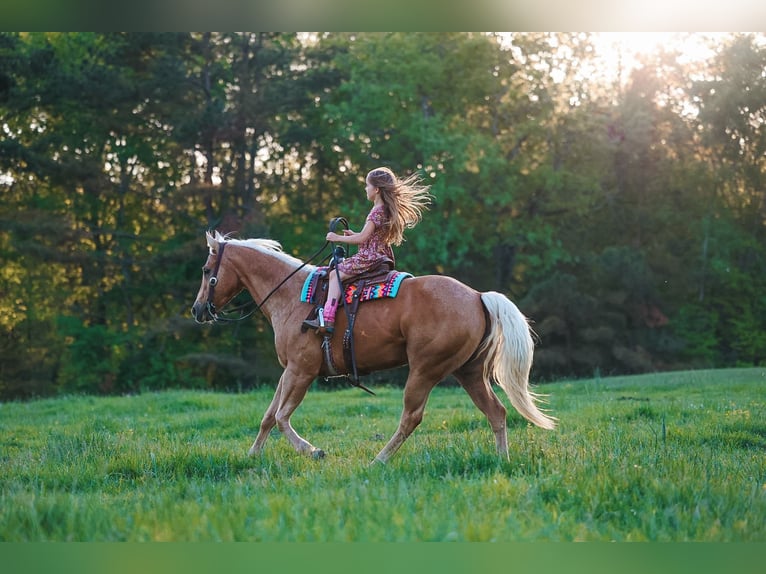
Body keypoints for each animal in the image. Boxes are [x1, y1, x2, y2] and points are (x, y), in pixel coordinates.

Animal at [191, 230, 556, 464]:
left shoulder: (301, 371)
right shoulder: (289, 371)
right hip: (469, 372)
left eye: (207, 270)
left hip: (425, 369)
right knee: (496, 412)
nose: (197, 310)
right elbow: (268, 416)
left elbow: (281, 417)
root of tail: (478, 296)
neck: (292, 295)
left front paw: (313, 450)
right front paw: (252, 455)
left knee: (411, 417)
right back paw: (502, 460)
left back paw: (378, 460)